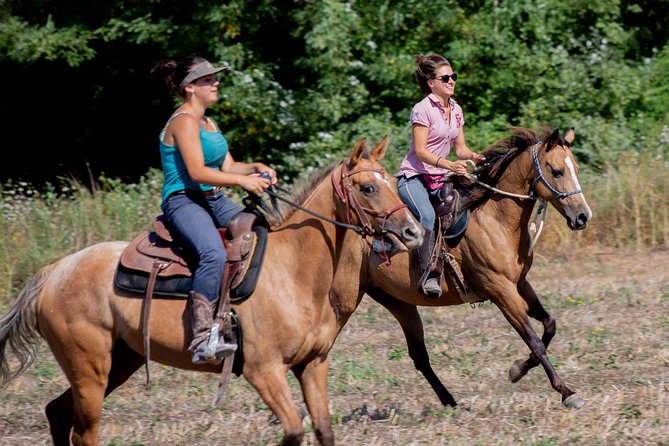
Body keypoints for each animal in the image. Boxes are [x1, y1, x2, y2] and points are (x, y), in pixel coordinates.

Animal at [0, 137, 420, 446]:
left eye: (389, 179)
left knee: (57, 413)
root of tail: (52, 272)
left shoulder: (312, 365)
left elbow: (324, 431)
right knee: (83, 432)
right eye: (368, 187)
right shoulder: (264, 371)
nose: (413, 231)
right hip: (90, 370)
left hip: (118, 362)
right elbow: (293, 433)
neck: (293, 271)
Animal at [366, 127, 588, 410]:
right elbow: (535, 341)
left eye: (576, 169)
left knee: (419, 355)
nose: (583, 216)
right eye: (557, 171)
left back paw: (449, 401)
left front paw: (518, 369)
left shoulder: (519, 284)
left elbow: (549, 325)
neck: (494, 218)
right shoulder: (500, 291)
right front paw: (566, 392)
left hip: (399, 302)